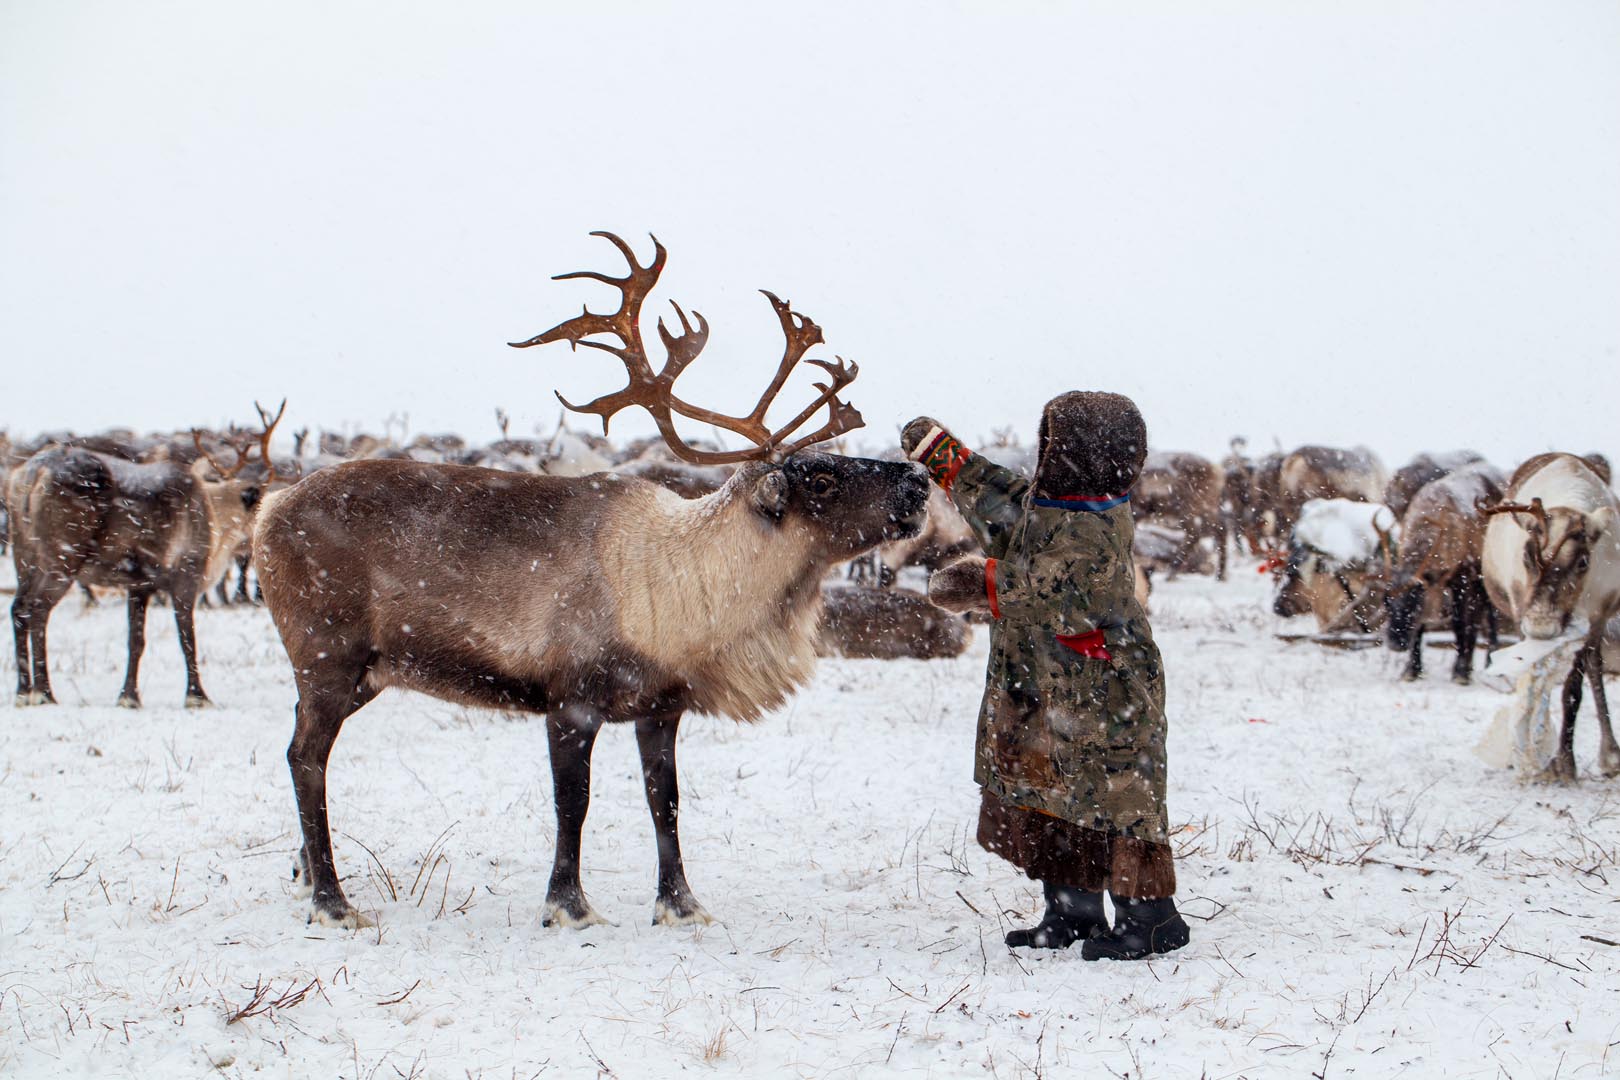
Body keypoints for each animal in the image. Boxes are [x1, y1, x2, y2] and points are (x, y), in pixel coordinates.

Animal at [10, 403, 284, 708]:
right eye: (262, 507)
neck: (215, 519)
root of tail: (34, 472)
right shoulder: (185, 578)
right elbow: (187, 638)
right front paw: (197, 696)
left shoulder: (138, 585)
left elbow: (136, 641)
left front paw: (129, 696)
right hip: (61, 562)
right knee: (38, 611)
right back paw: (44, 692)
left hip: (24, 557)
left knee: (18, 609)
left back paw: (23, 691)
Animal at [254, 232, 930, 930]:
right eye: (819, 479)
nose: (918, 478)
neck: (684, 587)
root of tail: (267, 510)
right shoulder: (570, 699)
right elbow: (572, 803)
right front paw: (568, 905)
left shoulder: (660, 706)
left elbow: (666, 803)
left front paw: (682, 905)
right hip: (328, 655)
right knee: (305, 755)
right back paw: (333, 901)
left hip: (369, 671)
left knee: (301, 740)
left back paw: (304, 871)